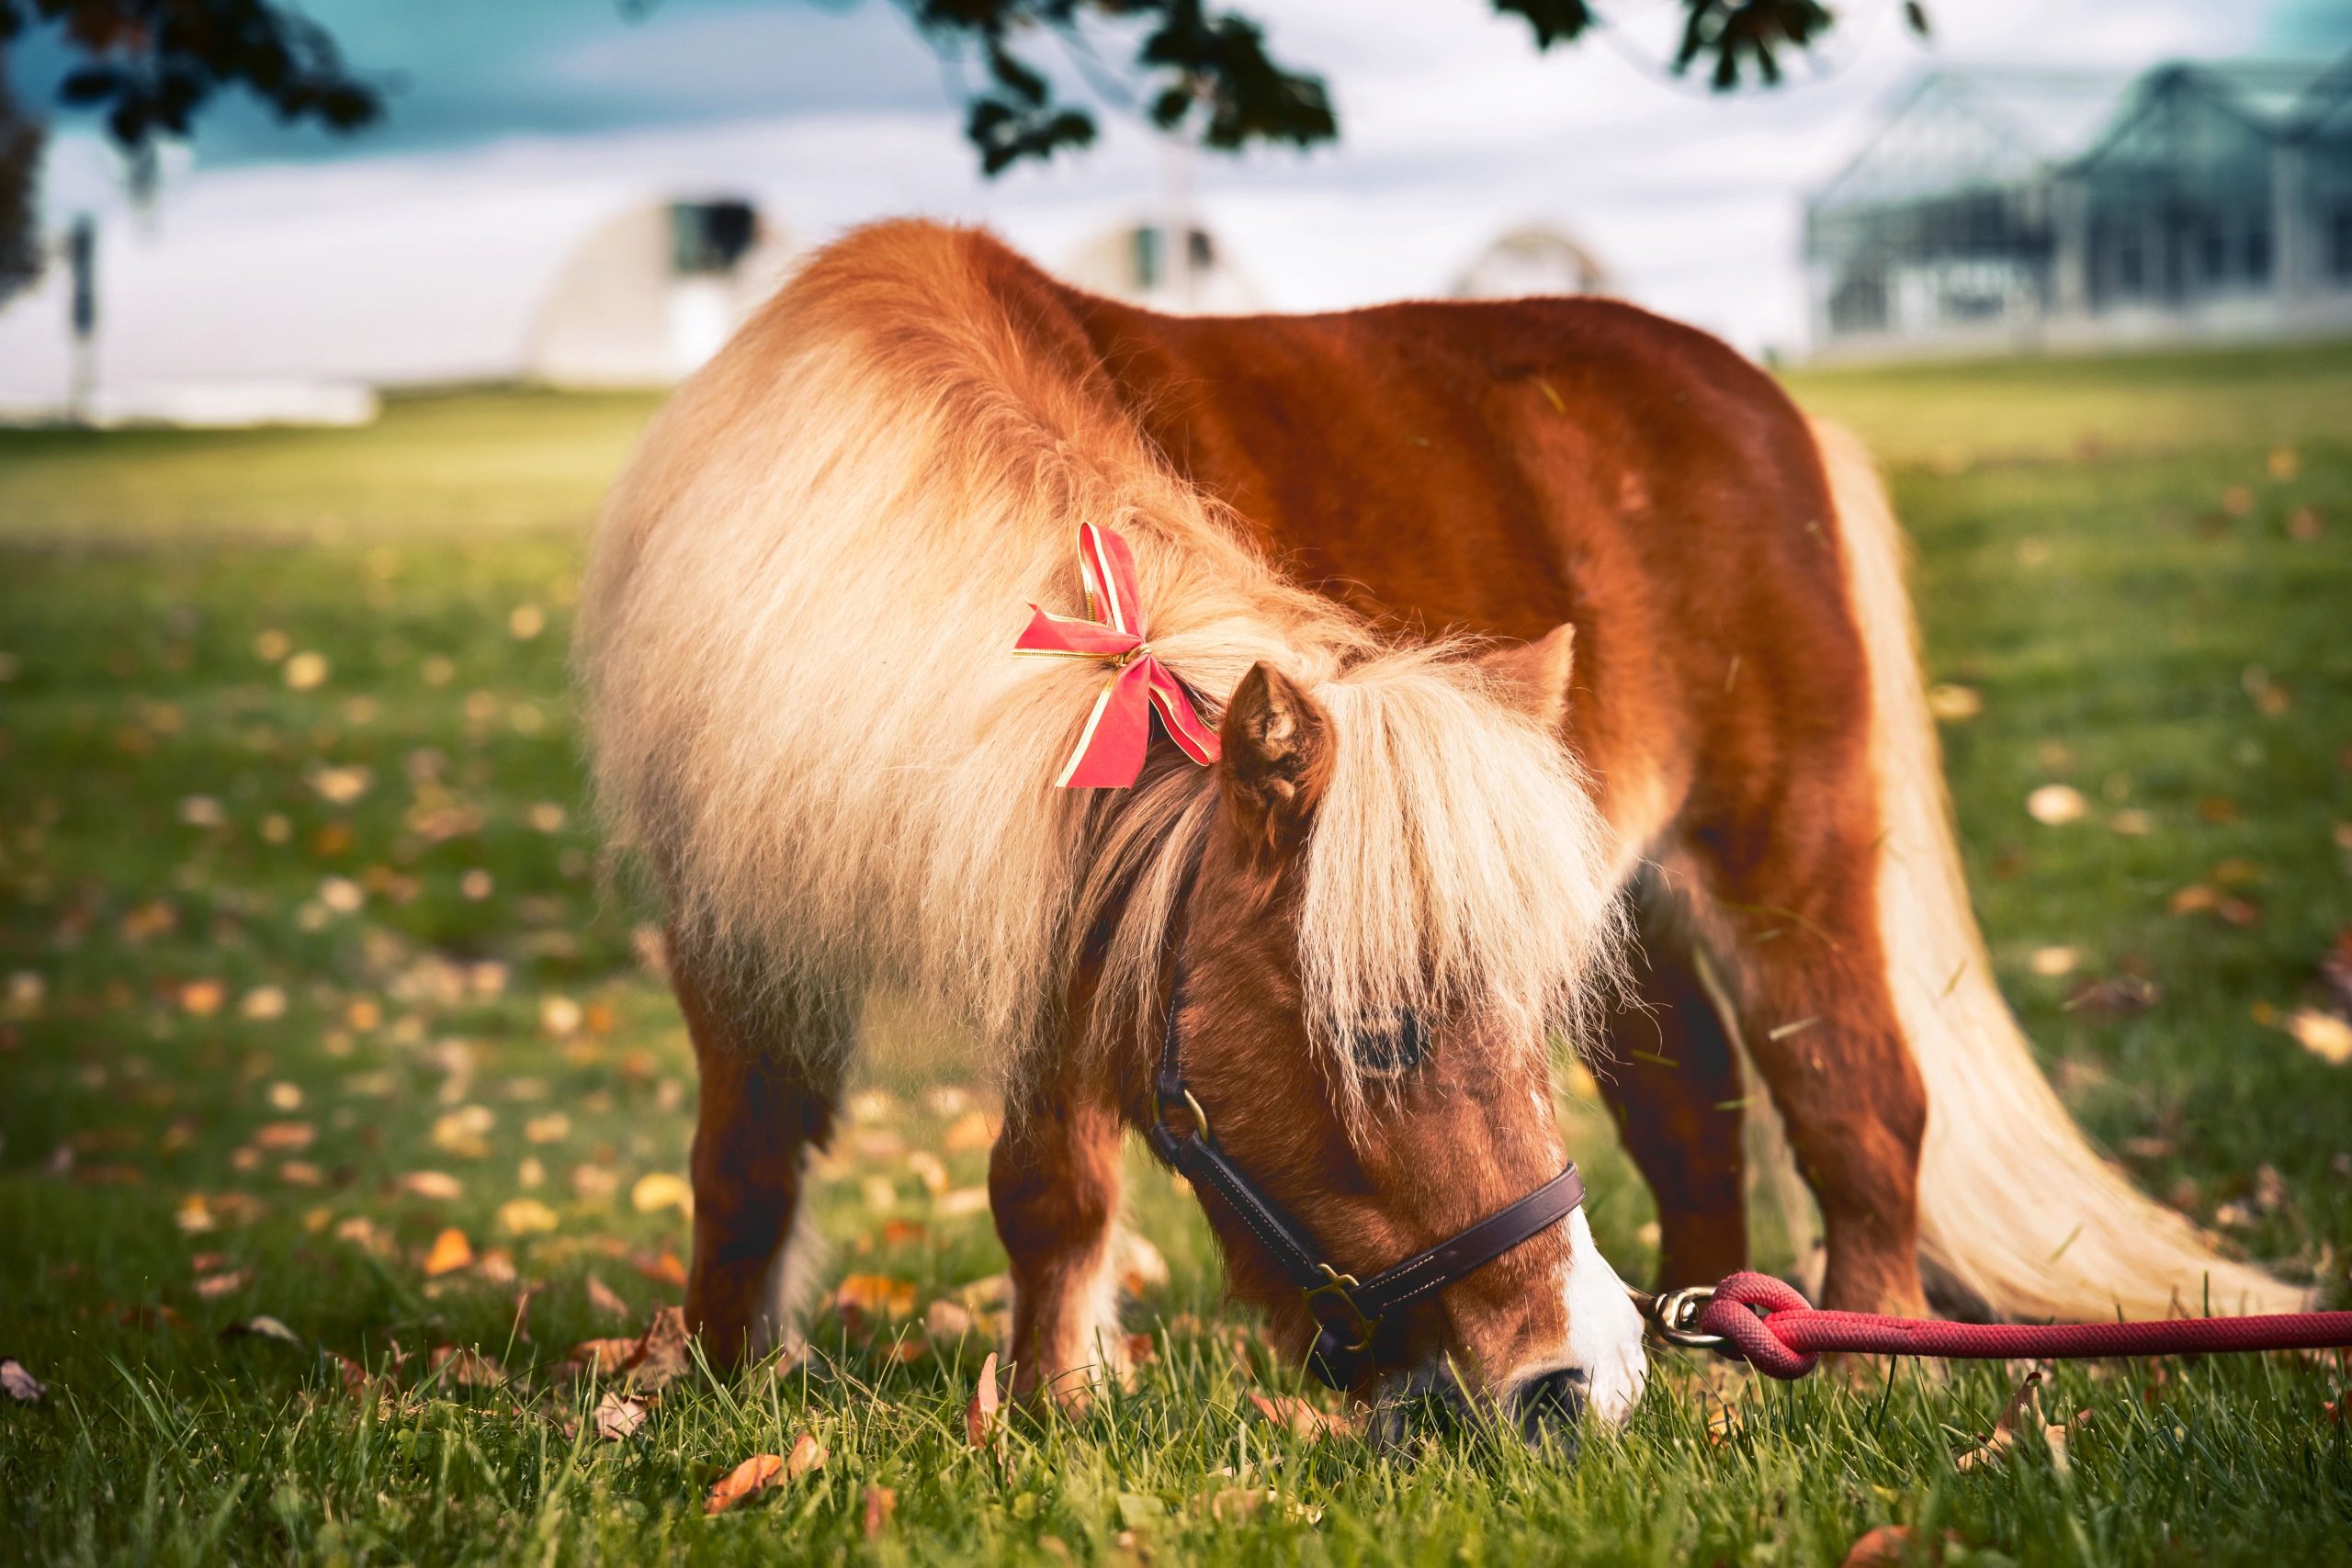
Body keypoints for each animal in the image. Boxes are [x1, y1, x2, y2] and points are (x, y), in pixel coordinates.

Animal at [576, 219, 2307, 1434]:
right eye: (1382, 1038)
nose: (1575, 1381)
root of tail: (1766, 403)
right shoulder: (741, 920)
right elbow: (747, 1165)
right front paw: (712, 1382)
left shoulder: (1069, 922)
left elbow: (1048, 1180)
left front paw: (1055, 1407)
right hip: (1618, 900)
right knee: (1694, 1113)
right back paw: (1714, 1350)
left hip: (1784, 852)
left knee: (1860, 1101)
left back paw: (1856, 1360)